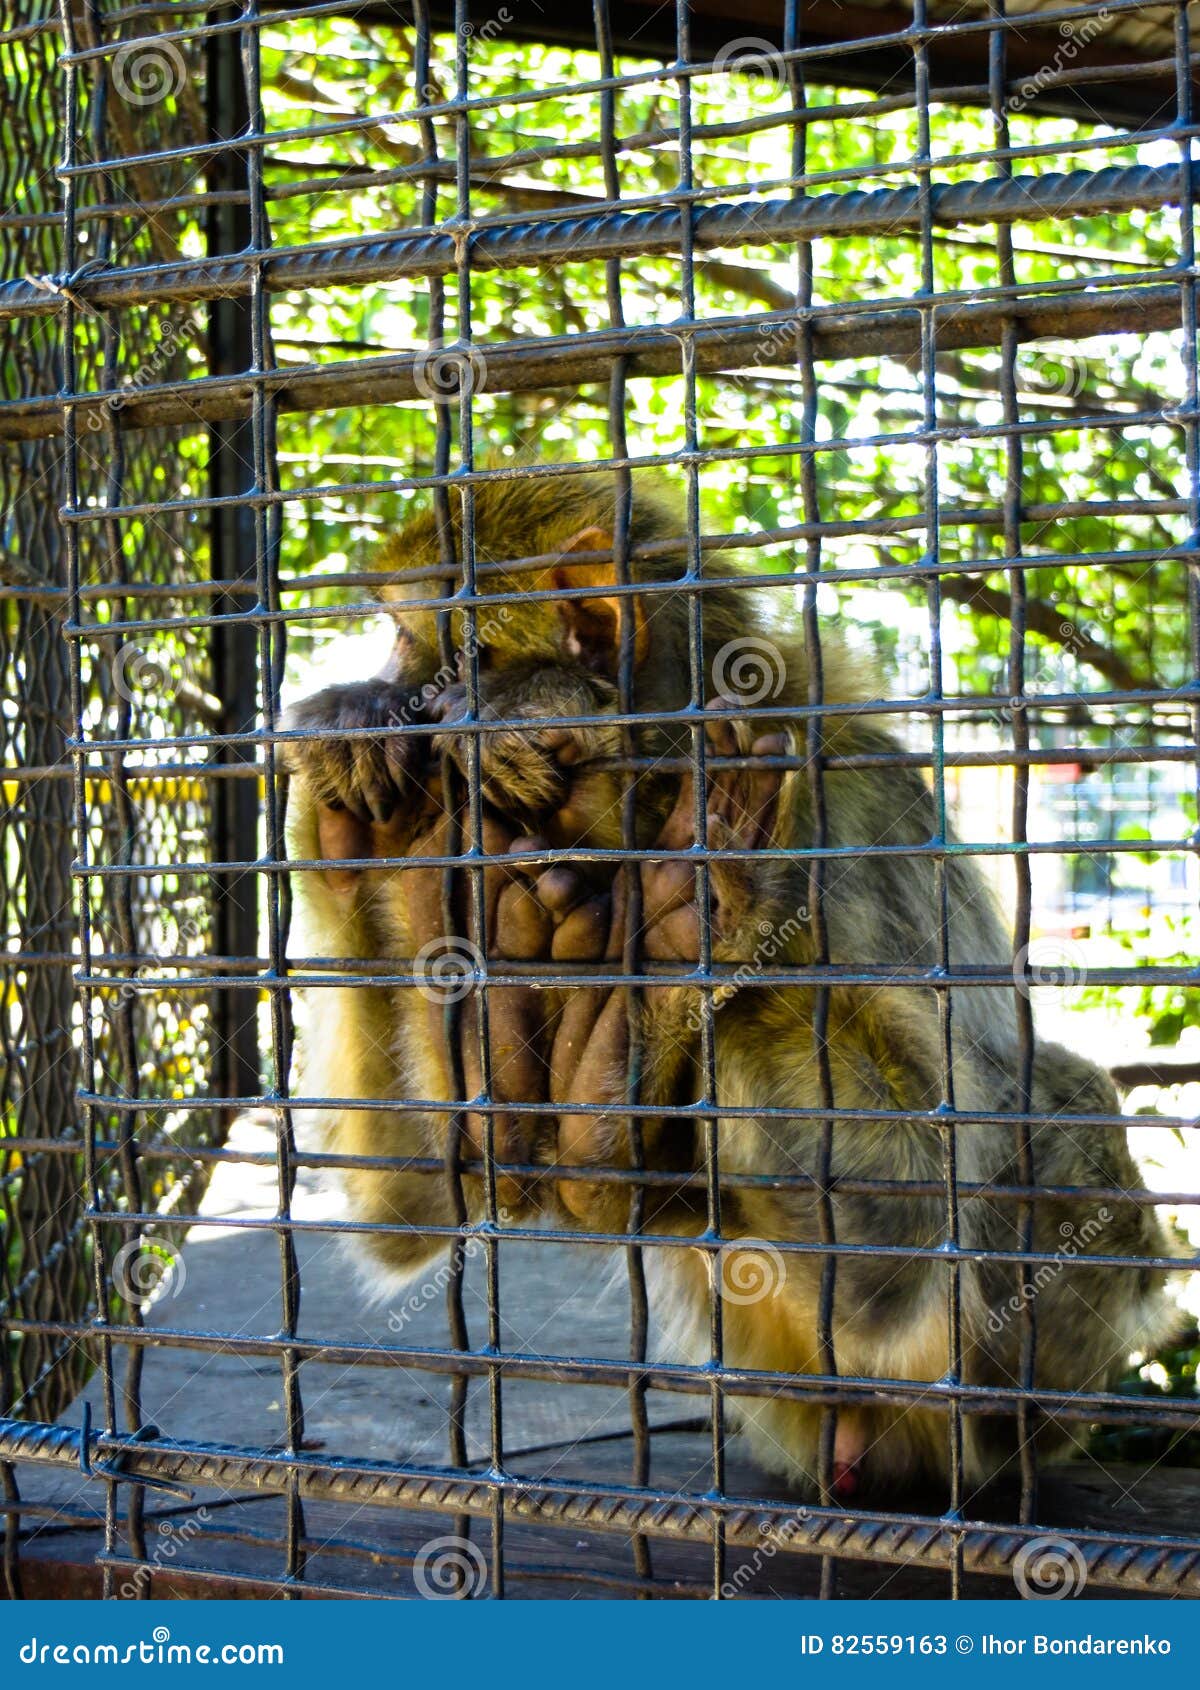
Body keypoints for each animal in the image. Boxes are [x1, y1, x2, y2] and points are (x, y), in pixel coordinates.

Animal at [282, 470, 1180, 1498]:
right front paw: (360, 820)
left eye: (404, 636)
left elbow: (910, 1221)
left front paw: (690, 894)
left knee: (1059, 1102)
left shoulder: (844, 816)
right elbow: (419, 1210)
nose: (393, 682)